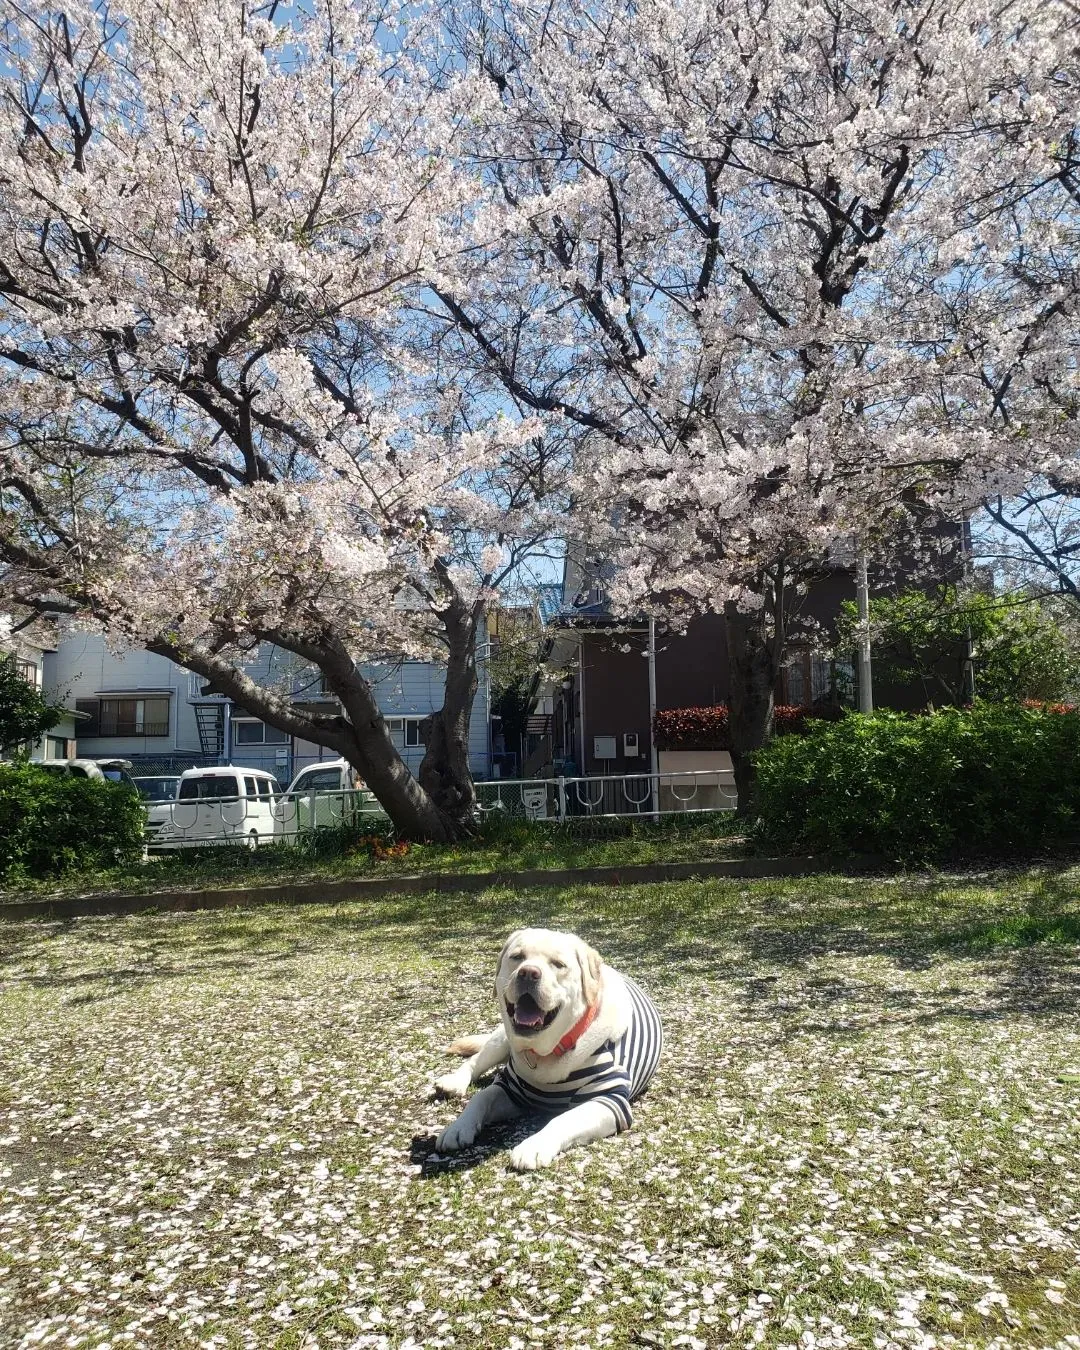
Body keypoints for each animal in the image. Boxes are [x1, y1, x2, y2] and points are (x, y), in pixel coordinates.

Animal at [434, 928, 661, 1171]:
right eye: (517, 957)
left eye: (558, 964)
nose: (528, 972)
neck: (545, 1053)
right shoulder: (511, 1088)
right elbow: (482, 1096)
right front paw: (458, 1127)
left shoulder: (608, 1100)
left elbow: (563, 1119)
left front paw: (533, 1145)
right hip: (502, 1039)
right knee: (475, 1060)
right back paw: (454, 1082)